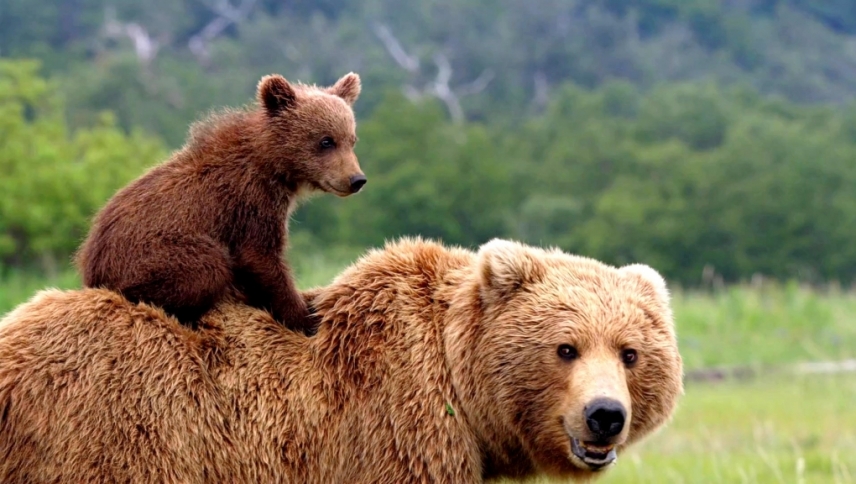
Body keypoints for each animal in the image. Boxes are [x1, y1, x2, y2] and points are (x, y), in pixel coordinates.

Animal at [74, 72, 365, 333]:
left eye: (352, 140)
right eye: (326, 141)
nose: (357, 179)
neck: (274, 167)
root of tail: (91, 264)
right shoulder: (250, 201)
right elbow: (260, 257)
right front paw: (305, 318)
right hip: (151, 254)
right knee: (208, 266)